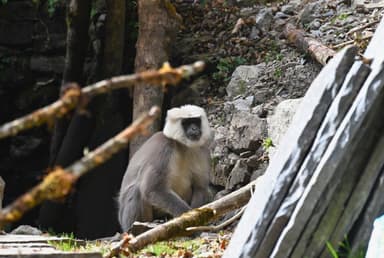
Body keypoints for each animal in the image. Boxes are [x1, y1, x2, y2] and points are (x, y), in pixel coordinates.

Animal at [118, 104, 212, 232]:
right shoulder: (164, 146)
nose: (194, 128)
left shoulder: (201, 149)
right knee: (137, 190)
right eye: (186, 123)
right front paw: (190, 220)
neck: (182, 147)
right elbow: (153, 189)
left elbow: (200, 187)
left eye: (196, 121)